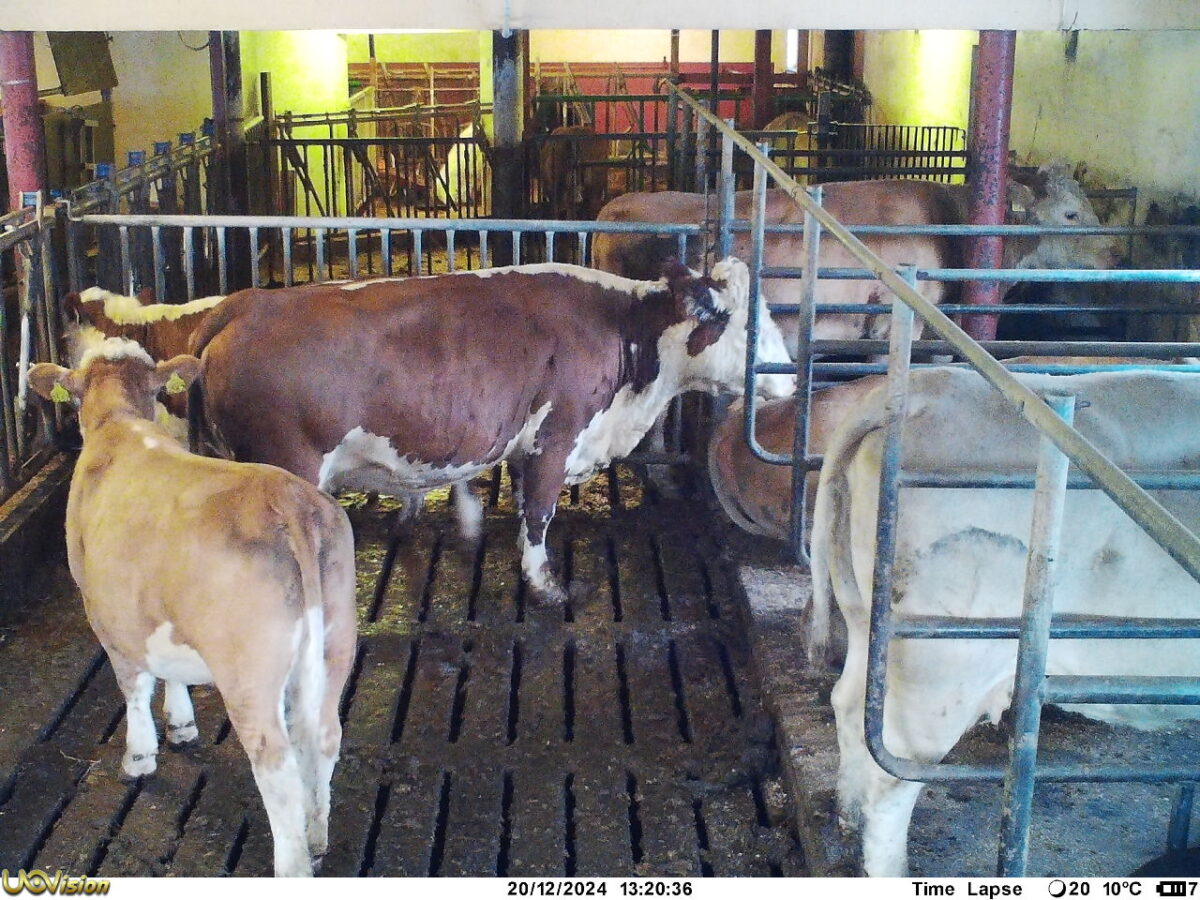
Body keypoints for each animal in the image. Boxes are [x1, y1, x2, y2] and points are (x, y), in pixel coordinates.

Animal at [28, 338, 358, 877]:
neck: (120, 420)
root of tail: (287, 500)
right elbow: (170, 669)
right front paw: (181, 721)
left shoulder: (107, 615)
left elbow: (134, 685)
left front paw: (140, 756)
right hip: (336, 640)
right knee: (324, 736)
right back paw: (317, 836)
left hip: (247, 672)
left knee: (276, 762)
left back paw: (292, 863)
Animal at [188, 258, 795, 602]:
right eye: (747, 324)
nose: (790, 379)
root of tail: (245, 306)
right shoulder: (557, 435)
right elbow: (540, 510)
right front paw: (546, 584)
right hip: (288, 467)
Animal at [806, 366, 1200, 876]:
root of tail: (922, 389)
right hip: (943, 667)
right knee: (896, 774)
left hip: (865, 620)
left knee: (850, 706)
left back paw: (846, 822)